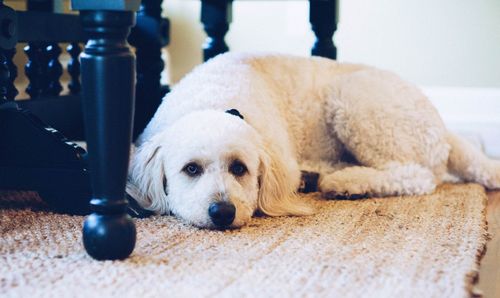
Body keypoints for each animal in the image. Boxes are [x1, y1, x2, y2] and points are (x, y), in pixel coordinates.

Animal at [126, 53, 500, 228]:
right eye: (191, 169)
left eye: (240, 168)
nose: (222, 211)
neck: (214, 101)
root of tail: (443, 125)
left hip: (355, 100)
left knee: (418, 176)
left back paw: (347, 183)